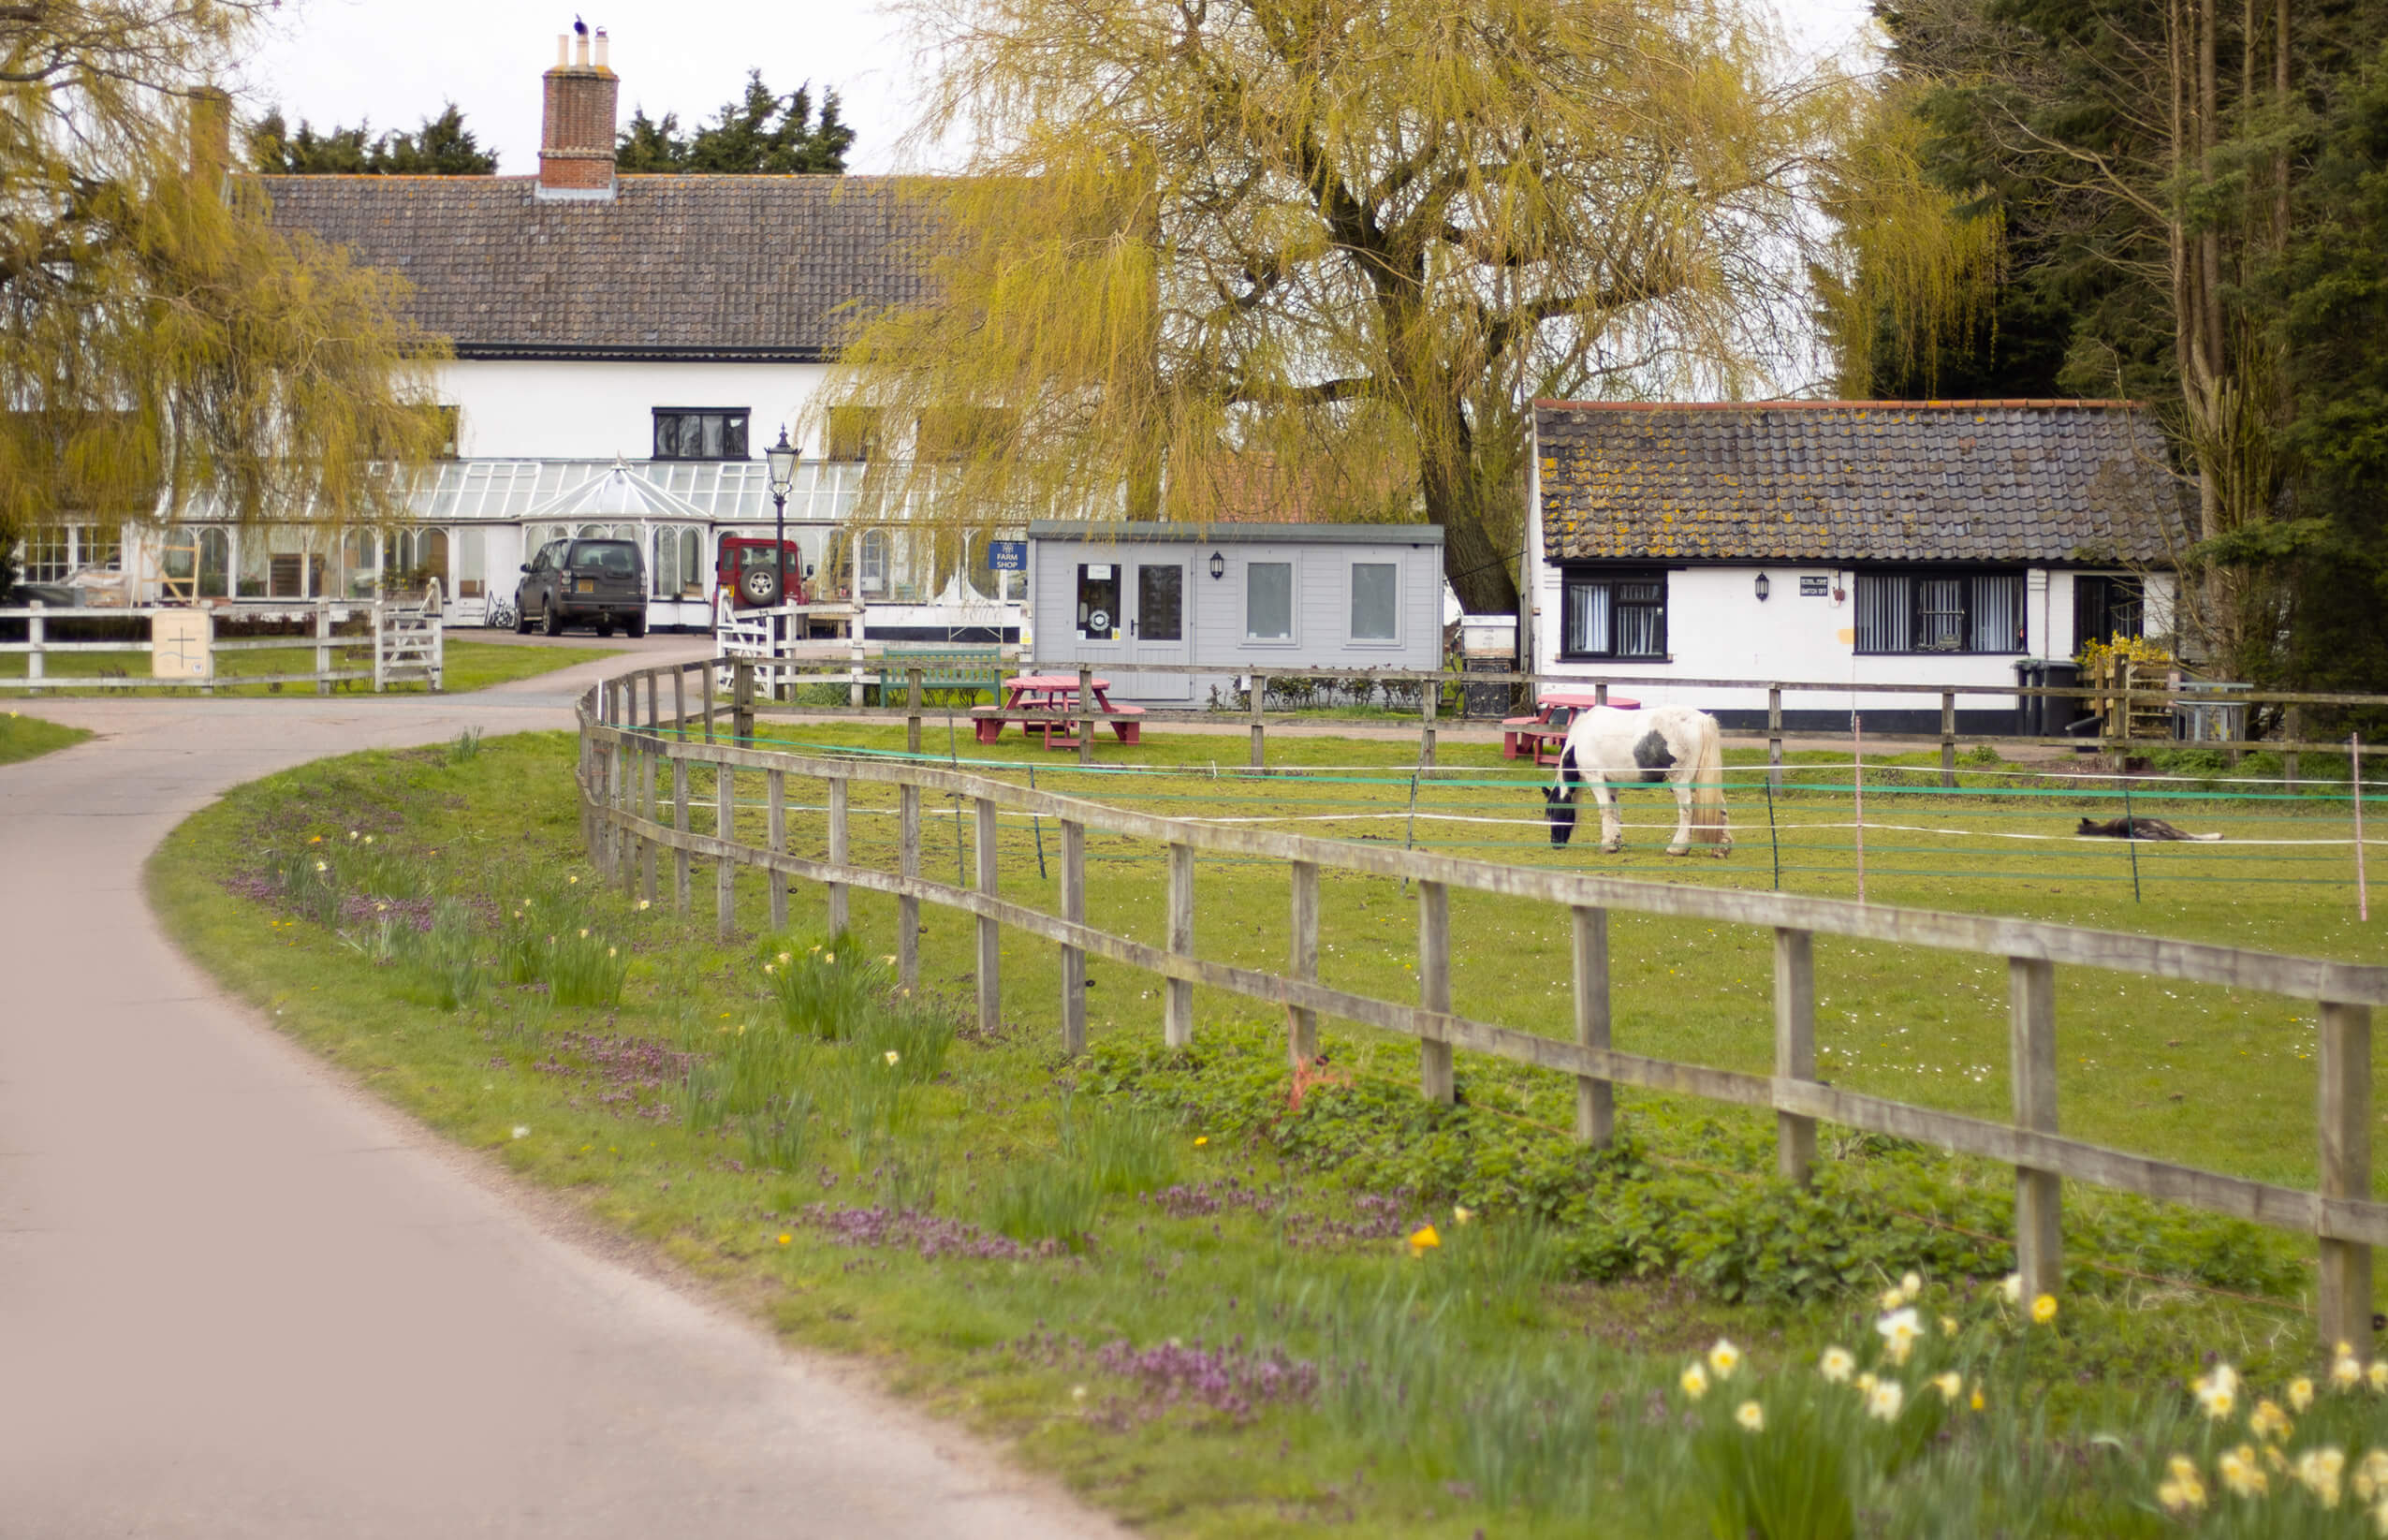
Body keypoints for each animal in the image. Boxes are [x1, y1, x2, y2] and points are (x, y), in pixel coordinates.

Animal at [1537, 706, 1728, 855]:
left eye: (1552, 811)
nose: (1555, 843)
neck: (1580, 738)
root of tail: (1702, 719)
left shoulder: (1595, 777)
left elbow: (1605, 809)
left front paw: (1607, 845)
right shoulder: (1611, 782)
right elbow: (1615, 810)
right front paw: (1615, 841)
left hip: (1680, 780)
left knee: (1687, 809)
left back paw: (1678, 848)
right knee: (1719, 804)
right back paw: (1722, 847)